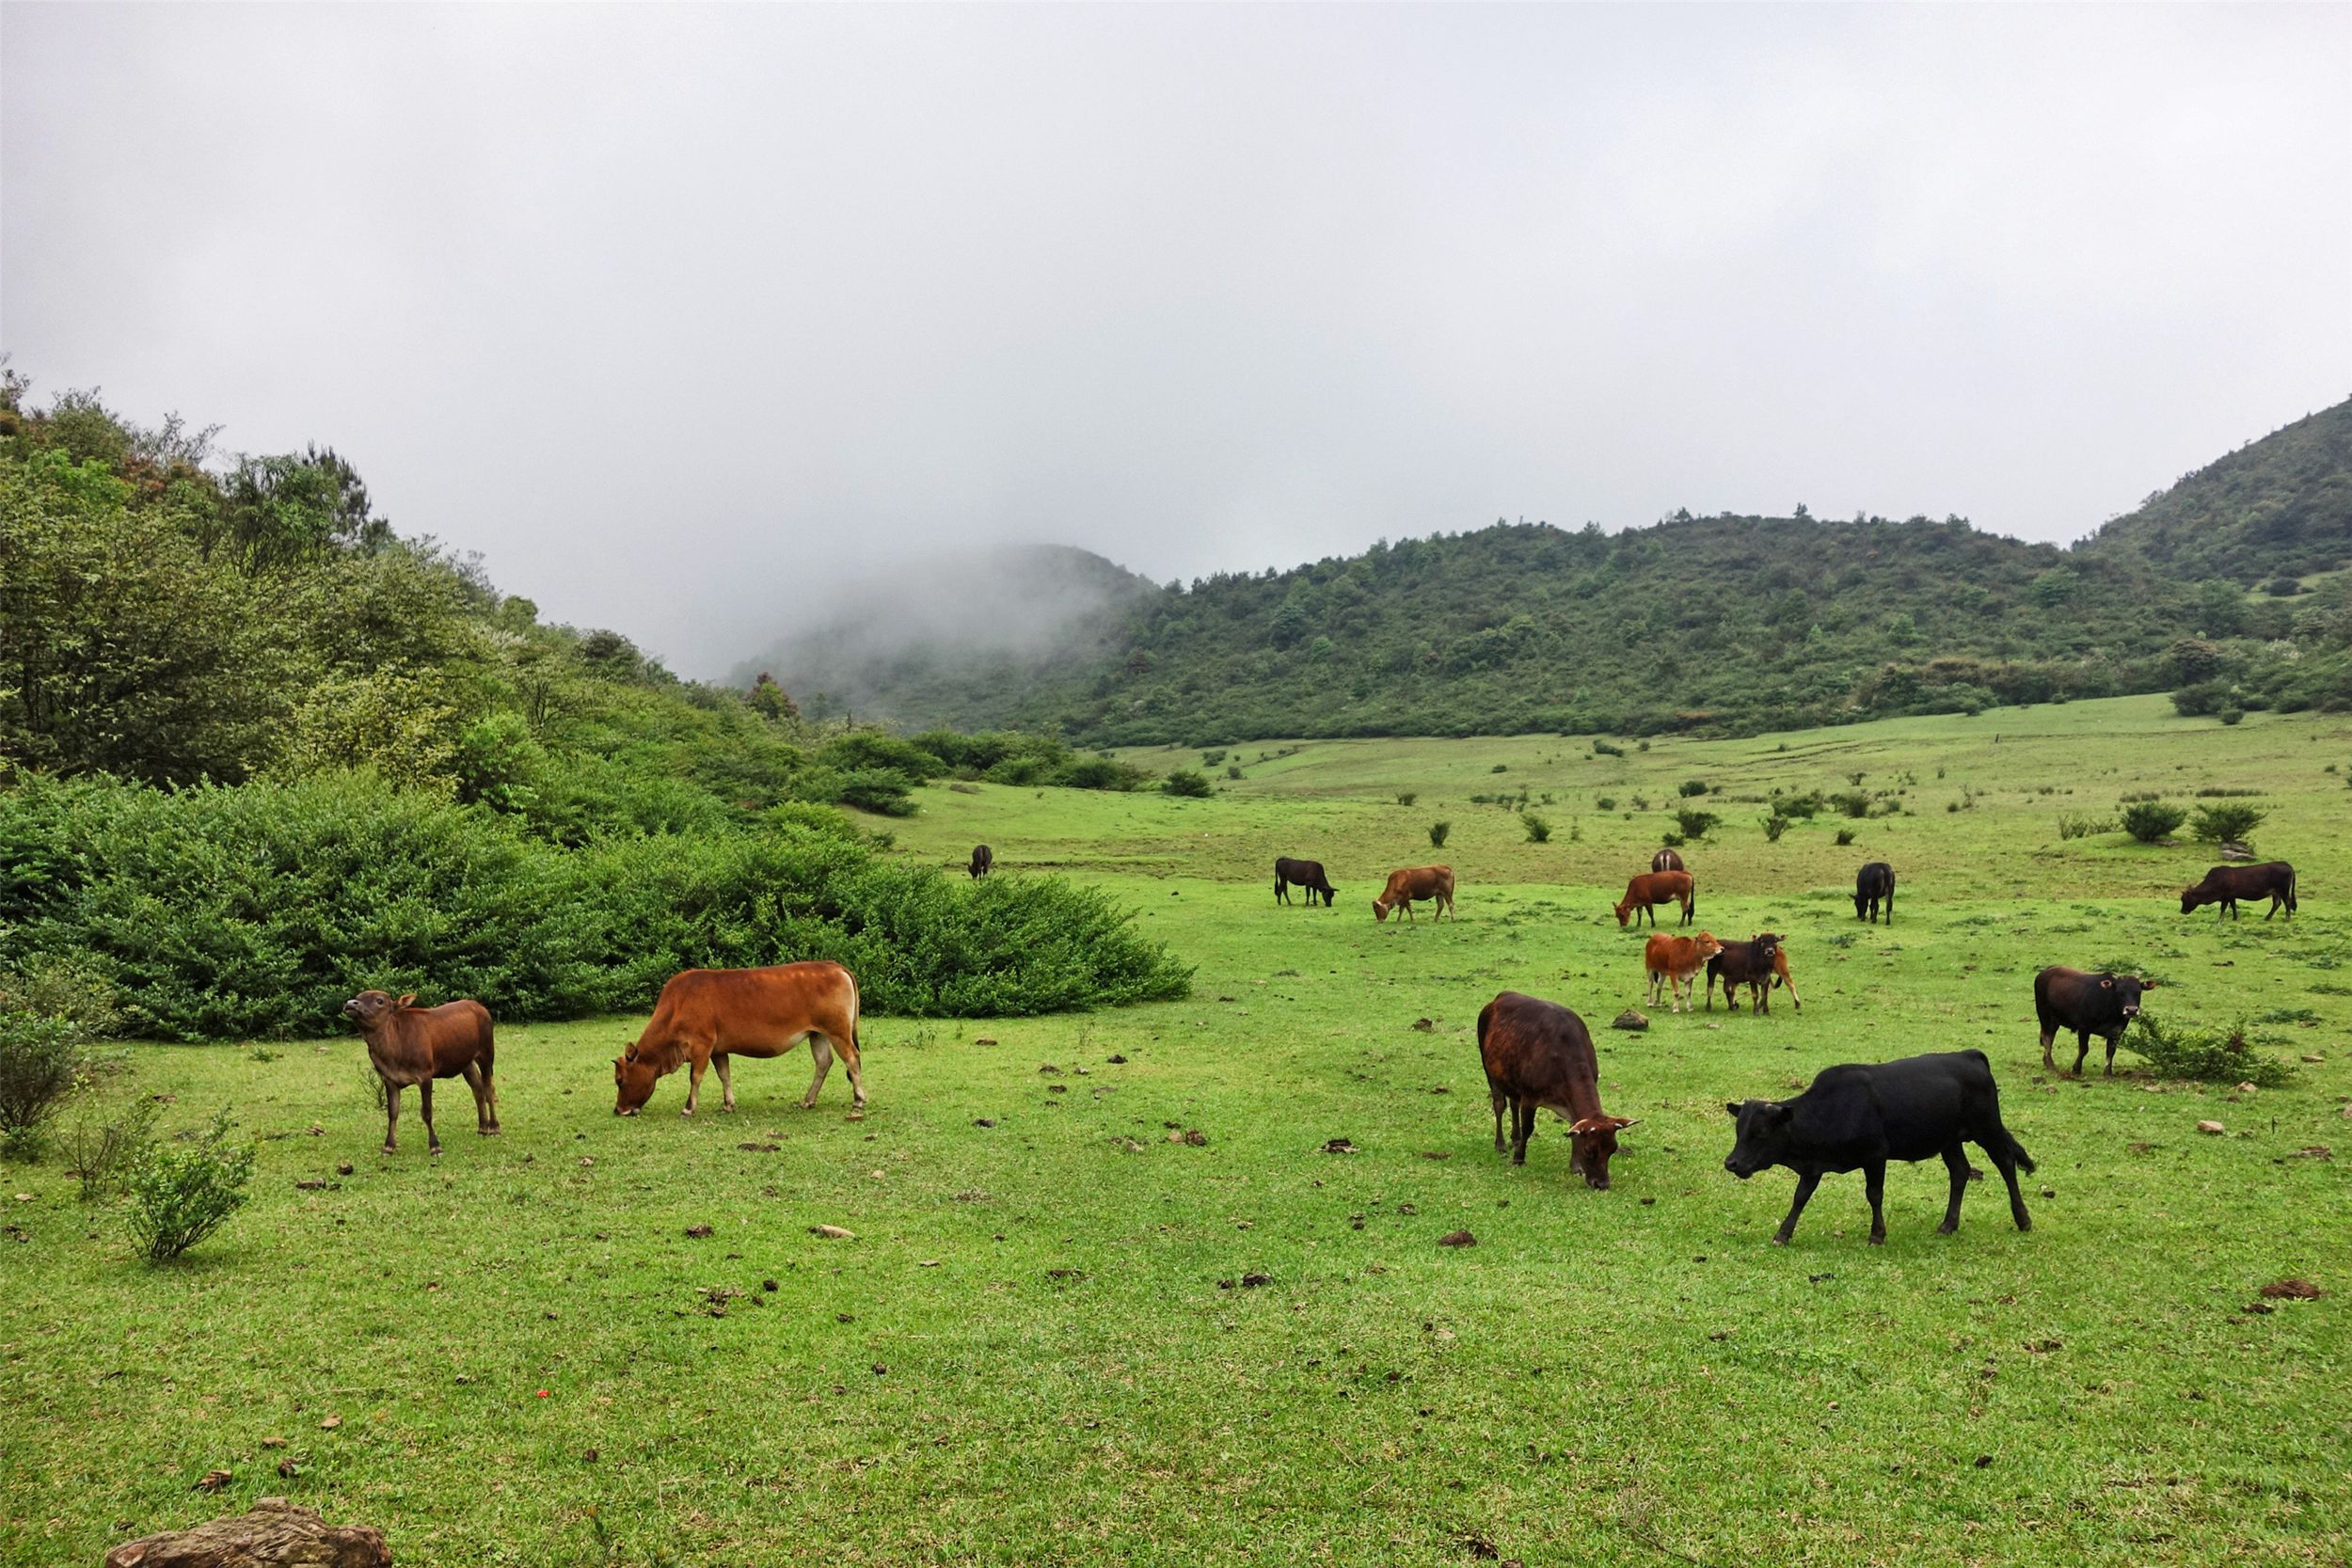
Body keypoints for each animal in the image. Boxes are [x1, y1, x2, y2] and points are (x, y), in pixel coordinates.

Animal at [616, 963, 866, 1123]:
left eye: (619, 1080)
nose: (618, 1110)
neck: (677, 1005)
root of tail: (835, 966)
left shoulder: (702, 1046)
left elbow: (695, 1077)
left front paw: (688, 1109)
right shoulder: (718, 1050)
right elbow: (724, 1075)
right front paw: (728, 1104)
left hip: (838, 1032)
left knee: (852, 1059)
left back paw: (858, 1100)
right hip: (818, 1034)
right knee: (823, 1063)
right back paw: (808, 1101)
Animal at [1468, 991, 1637, 1189]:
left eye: (1613, 1149)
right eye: (1589, 1150)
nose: (1601, 1184)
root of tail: (1497, 999)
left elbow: (1573, 1128)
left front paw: (1575, 1166)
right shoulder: (1530, 1096)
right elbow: (1528, 1128)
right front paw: (1518, 1158)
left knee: (1514, 1104)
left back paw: (1515, 1138)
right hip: (1489, 1068)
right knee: (1499, 1104)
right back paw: (1501, 1144)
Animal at [1722, 1053, 2032, 1250]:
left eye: (1760, 1133)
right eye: (1739, 1131)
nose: (1731, 1163)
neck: (1831, 1108)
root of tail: (1970, 1055)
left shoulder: (1875, 1156)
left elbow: (1874, 1195)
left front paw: (1877, 1235)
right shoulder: (1813, 1166)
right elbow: (1800, 1198)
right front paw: (1783, 1234)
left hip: (1987, 1128)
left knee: (2006, 1163)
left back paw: (2023, 1219)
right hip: (1950, 1140)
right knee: (1960, 1172)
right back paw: (1948, 1224)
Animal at [2032, 968, 2154, 1081]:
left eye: (2138, 992)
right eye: (2119, 992)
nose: (2131, 1010)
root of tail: (2043, 973)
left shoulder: (2116, 1033)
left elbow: (2110, 1052)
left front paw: (2108, 1073)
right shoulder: (2084, 1029)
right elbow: (2084, 1049)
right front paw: (2076, 1069)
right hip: (2046, 1017)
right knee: (2047, 1039)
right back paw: (2050, 1065)